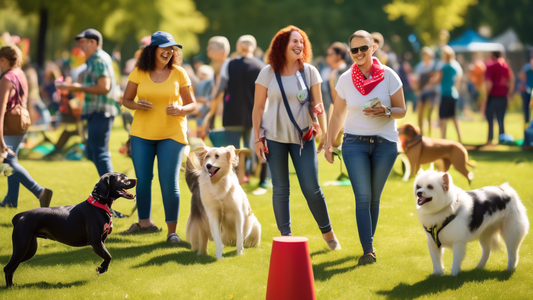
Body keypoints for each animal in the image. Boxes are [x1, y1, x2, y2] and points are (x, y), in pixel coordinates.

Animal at [3, 172, 136, 288]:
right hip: (22, 247)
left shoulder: (101, 242)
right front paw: (101, 269)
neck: (98, 204)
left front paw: (101, 268)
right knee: (7, 268)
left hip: (28, 249)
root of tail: (20, 215)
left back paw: (12, 286)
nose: (136, 179)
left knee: (12, 267)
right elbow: (108, 256)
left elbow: (106, 257)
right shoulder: (96, 242)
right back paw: (10, 288)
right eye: (122, 178)